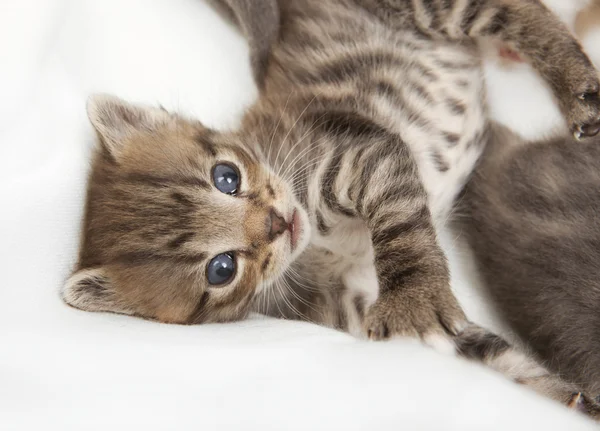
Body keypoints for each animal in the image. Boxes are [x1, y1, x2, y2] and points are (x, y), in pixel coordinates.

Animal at [64, 0, 600, 416]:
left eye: (226, 177)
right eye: (222, 269)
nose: (277, 222)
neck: (318, 251)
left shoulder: (356, 153)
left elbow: (401, 228)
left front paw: (415, 296)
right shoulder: (352, 308)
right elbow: (493, 354)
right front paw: (568, 400)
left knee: (519, 12)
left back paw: (575, 87)